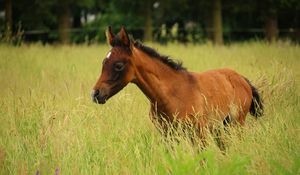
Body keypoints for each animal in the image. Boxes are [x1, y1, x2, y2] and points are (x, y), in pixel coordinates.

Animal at [91, 26, 262, 138]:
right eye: (103, 62)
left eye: (118, 65)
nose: (95, 94)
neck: (171, 95)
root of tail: (242, 79)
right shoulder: (168, 136)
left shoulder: (198, 133)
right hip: (221, 128)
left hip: (236, 124)